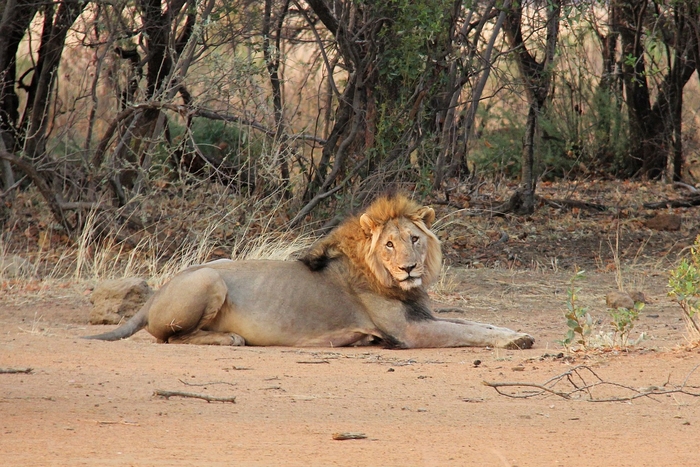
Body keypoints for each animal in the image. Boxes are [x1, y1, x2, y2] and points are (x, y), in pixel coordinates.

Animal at [86, 194, 536, 352]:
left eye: (414, 239)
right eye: (389, 245)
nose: (410, 267)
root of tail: (155, 294)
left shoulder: (423, 316)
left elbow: (476, 323)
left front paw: (518, 332)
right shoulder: (409, 331)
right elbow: (467, 332)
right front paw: (514, 341)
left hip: (217, 263)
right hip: (209, 279)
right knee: (170, 337)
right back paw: (230, 338)